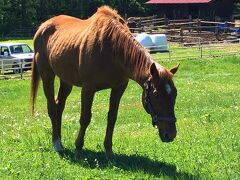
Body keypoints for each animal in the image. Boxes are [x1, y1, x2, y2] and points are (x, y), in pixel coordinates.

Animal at [30, 5, 178, 155]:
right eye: (156, 95)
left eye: (175, 94)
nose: (170, 134)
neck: (112, 48)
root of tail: (42, 27)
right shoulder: (88, 89)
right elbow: (85, 117)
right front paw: (78, 147)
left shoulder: (119, 88)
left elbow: (112, 117)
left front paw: (108, 149)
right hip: (47, 76)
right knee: (52, 108)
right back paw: (56, 144)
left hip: (66, 81)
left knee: (59, 106)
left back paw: (59, 140)